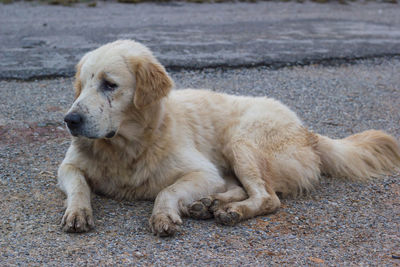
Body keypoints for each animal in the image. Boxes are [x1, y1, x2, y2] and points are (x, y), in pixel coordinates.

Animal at [58, 39, 400, 237]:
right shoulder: (67, 167)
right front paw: (77, 212)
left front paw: (164, 214)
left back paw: (229, 210)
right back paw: (206, 204)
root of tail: (307, 131)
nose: (70, 120)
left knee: (268, 197)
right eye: (81, 86)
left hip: (242, 142)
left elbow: (166, 190)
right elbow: (79, 186)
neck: (126, 148)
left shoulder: (202, 171)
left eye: (109, 84)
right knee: (240, 188)